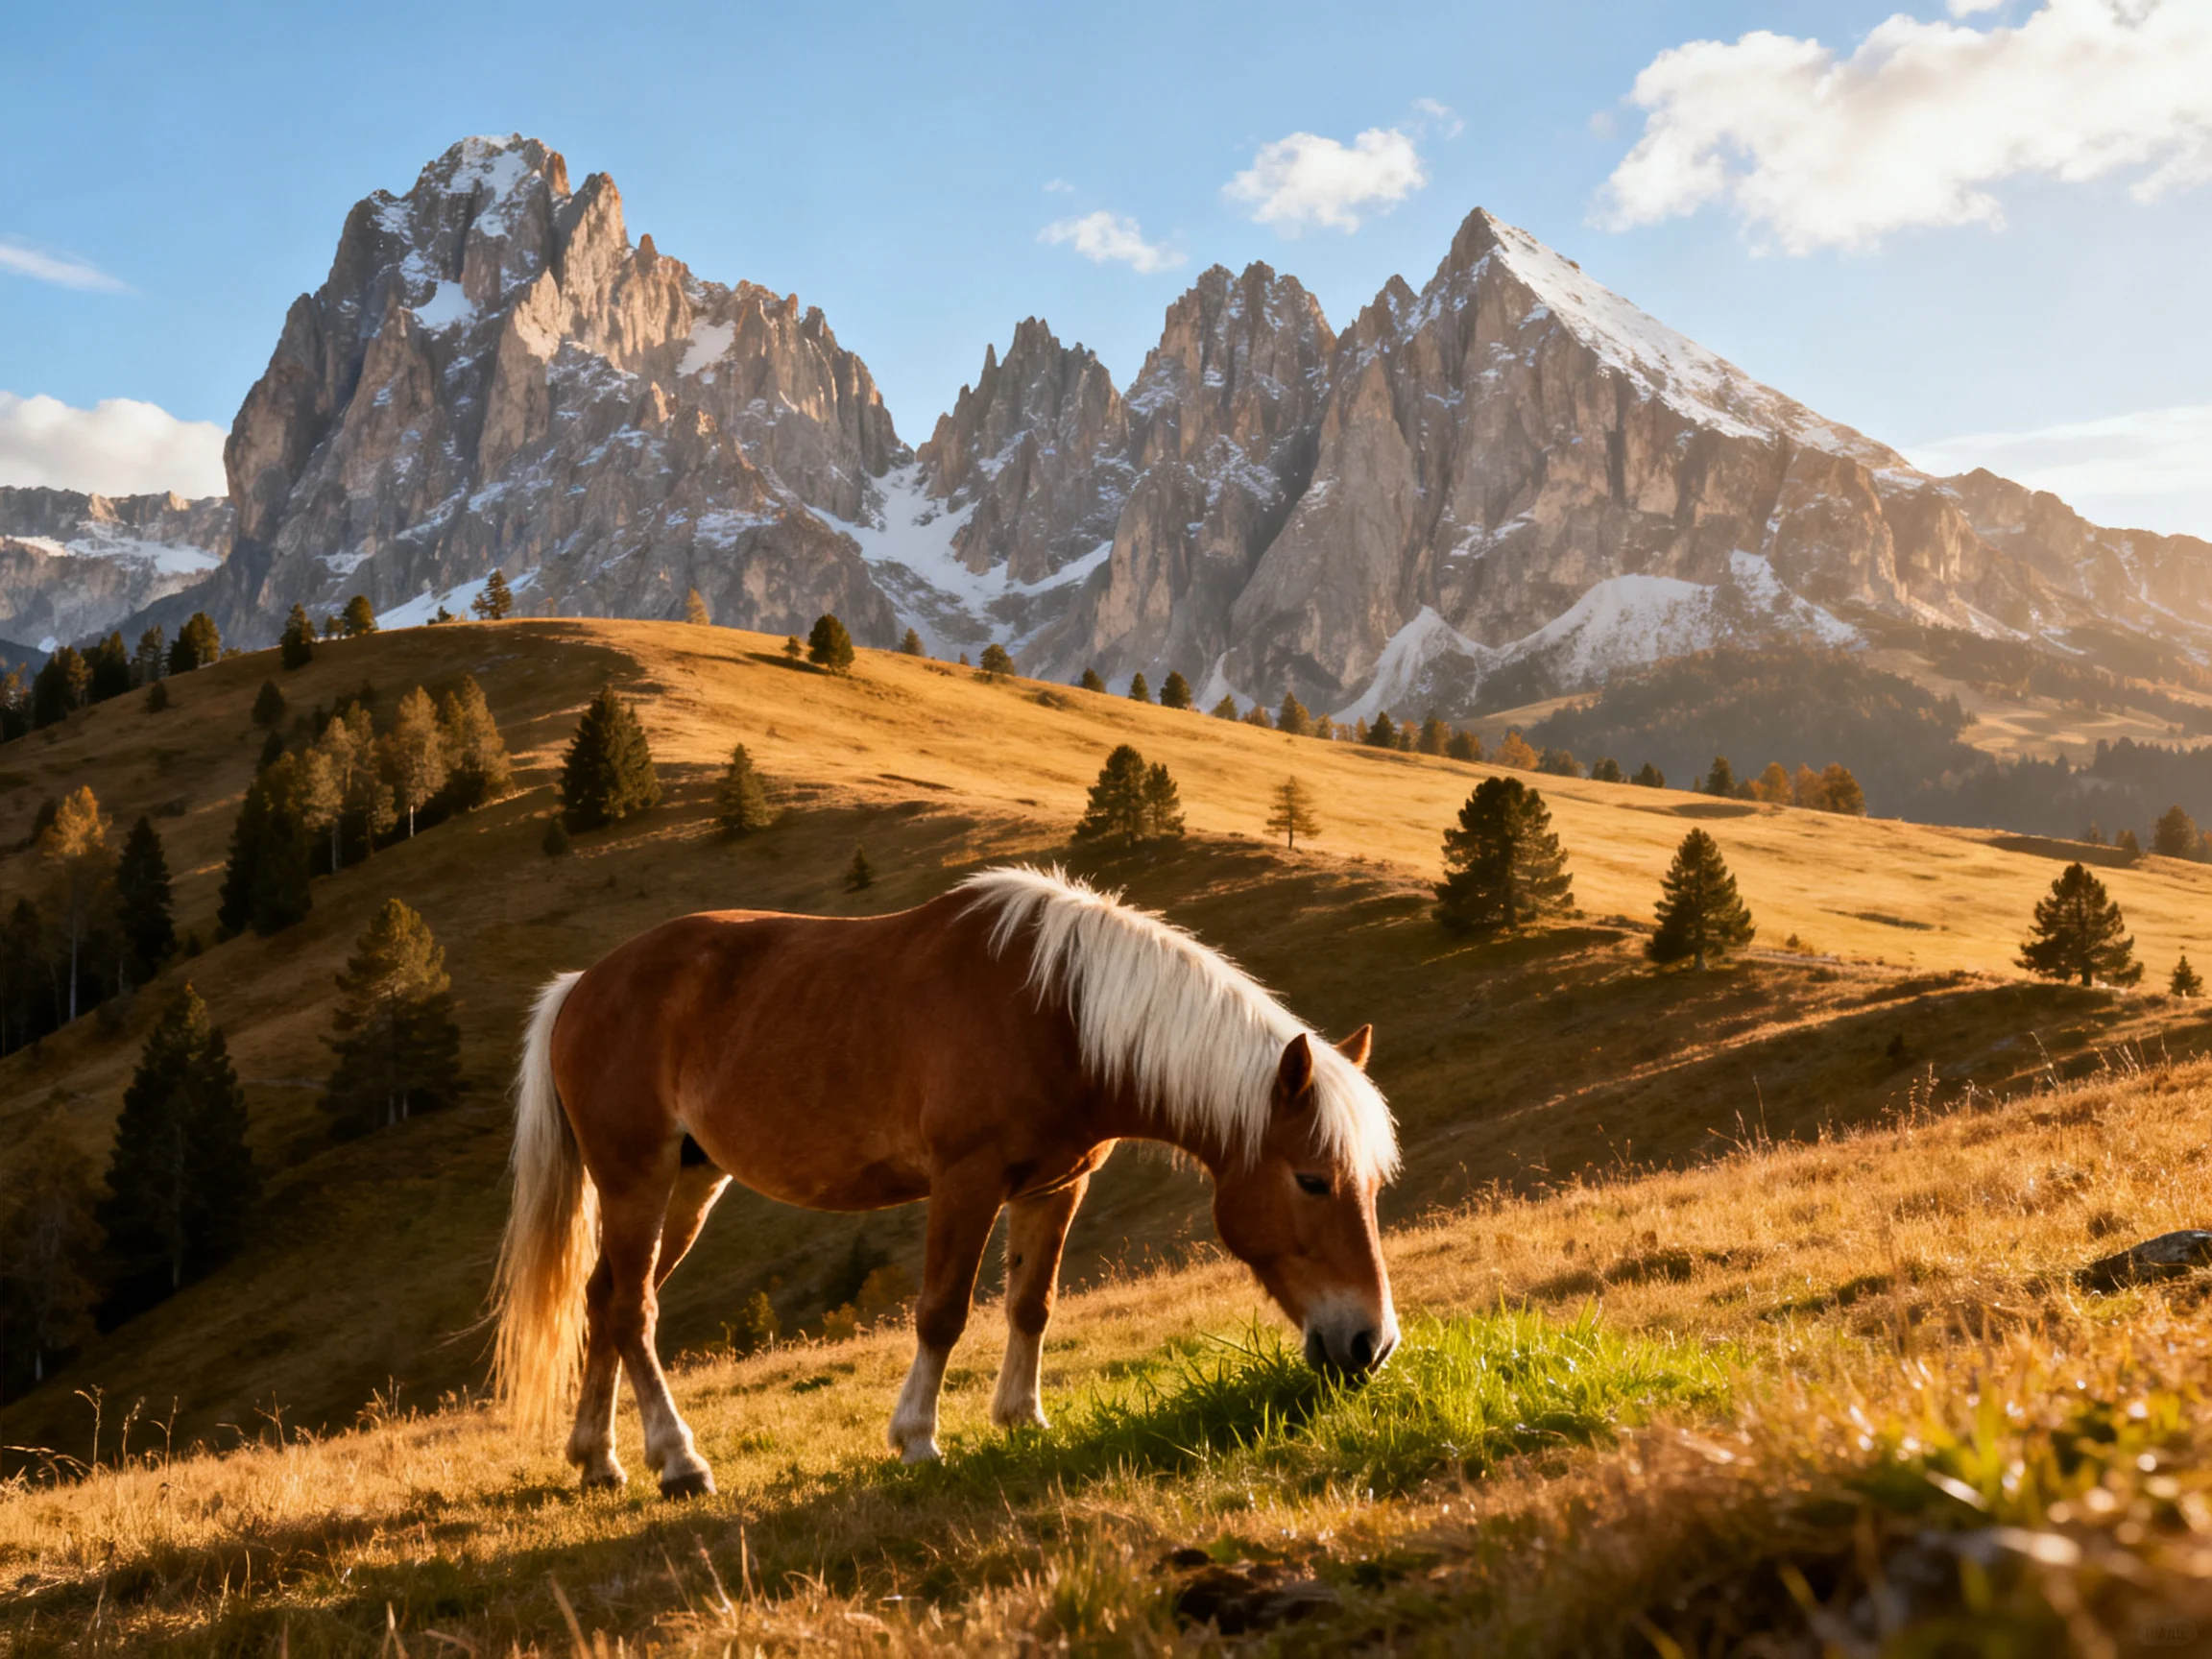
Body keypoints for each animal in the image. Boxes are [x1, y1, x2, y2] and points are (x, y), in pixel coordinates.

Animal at [490, 864, 1401, 1497]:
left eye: (1371, 1185)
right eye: (1313, 1180)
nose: (1371, 1345)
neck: (1059, 1011)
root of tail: (580, 988)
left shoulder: (1054, 1187)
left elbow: (1032, 1304)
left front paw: (1022, 1419)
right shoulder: (967, 1181)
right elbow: (942, 1311)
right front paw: (918, 1438)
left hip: (686, 1185)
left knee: (605, 1301)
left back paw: (599, 1459)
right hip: (635, 1180)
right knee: (633, 1313)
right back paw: (679, 1463)